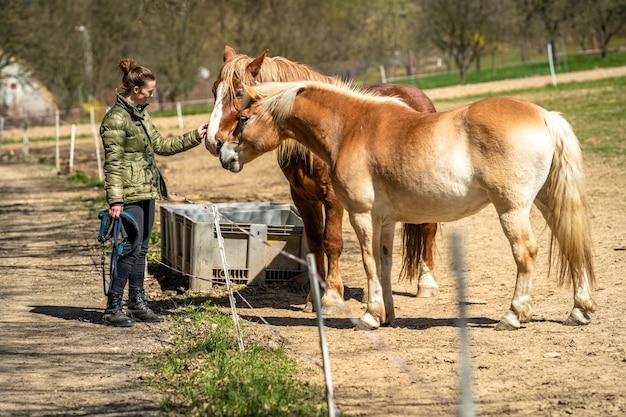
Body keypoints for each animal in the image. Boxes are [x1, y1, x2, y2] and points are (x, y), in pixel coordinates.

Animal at [202, 46, 436, 312]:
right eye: (214, 90)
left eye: (239, 93)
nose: (213, 141)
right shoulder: (303, 197)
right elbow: (315, 243)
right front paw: (314, 298)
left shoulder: (332, 198)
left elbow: (332, 242)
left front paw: (333, 297)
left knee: (428, 228)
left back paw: (426, 284)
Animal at [218, 79, 596, 330]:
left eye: (243, 118)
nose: (224, 154)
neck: (351, 127)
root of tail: (544, 116)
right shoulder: (385, 220)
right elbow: (384, 263)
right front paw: (387, 314)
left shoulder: (361, 215)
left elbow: (369, 261)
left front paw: (369, 317)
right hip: (546, 202)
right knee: (570, 244)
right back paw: (579, 309)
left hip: (512, 208)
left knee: (525, 252)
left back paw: (513, 315)